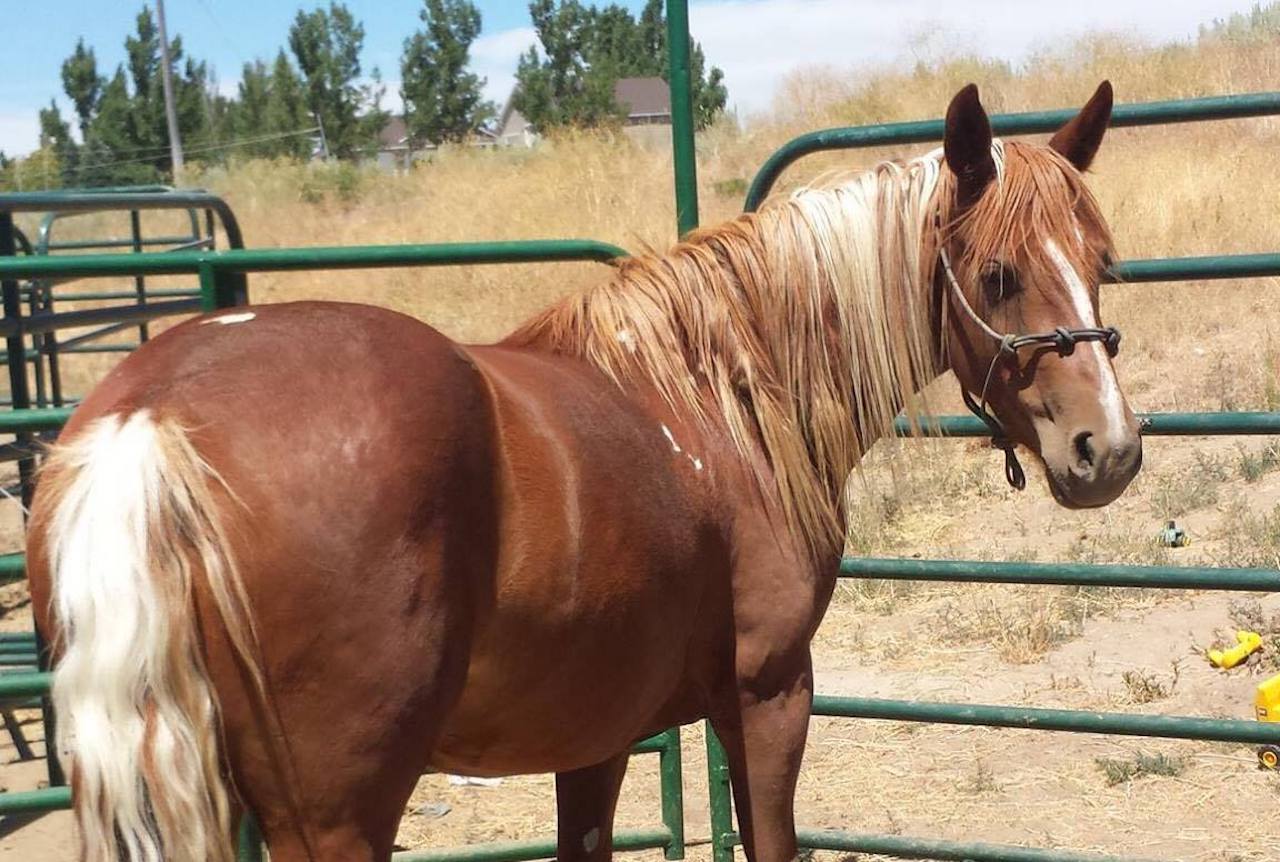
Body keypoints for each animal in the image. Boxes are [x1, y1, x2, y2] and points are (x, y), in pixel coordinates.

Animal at [22, 82, 1141, 860]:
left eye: (1101, 259)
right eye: (996, 273)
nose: (1110, 450)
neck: (720, 398)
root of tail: (151, 410)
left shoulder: (595, 736)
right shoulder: (770, 695)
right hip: (334, 816)